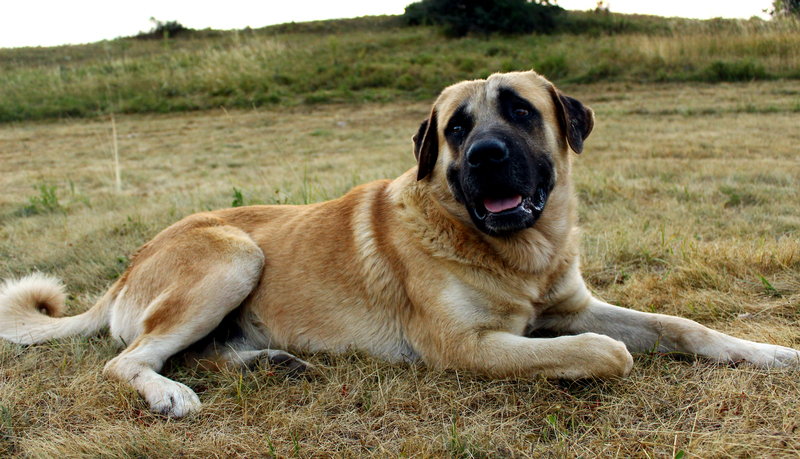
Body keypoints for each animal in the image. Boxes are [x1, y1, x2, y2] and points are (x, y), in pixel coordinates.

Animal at [1, 71, 800, 416]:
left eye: (519, 111)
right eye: (455, 128)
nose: (483, 156)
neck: (515, 256)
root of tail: (129, 263)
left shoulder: (572, 306)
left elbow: (681, 325)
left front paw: (770, 352)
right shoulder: (466, 345)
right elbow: (611, 352)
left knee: (191, 348)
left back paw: (267, 362)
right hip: (234, 255)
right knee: (127, 359)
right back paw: (169, 392)